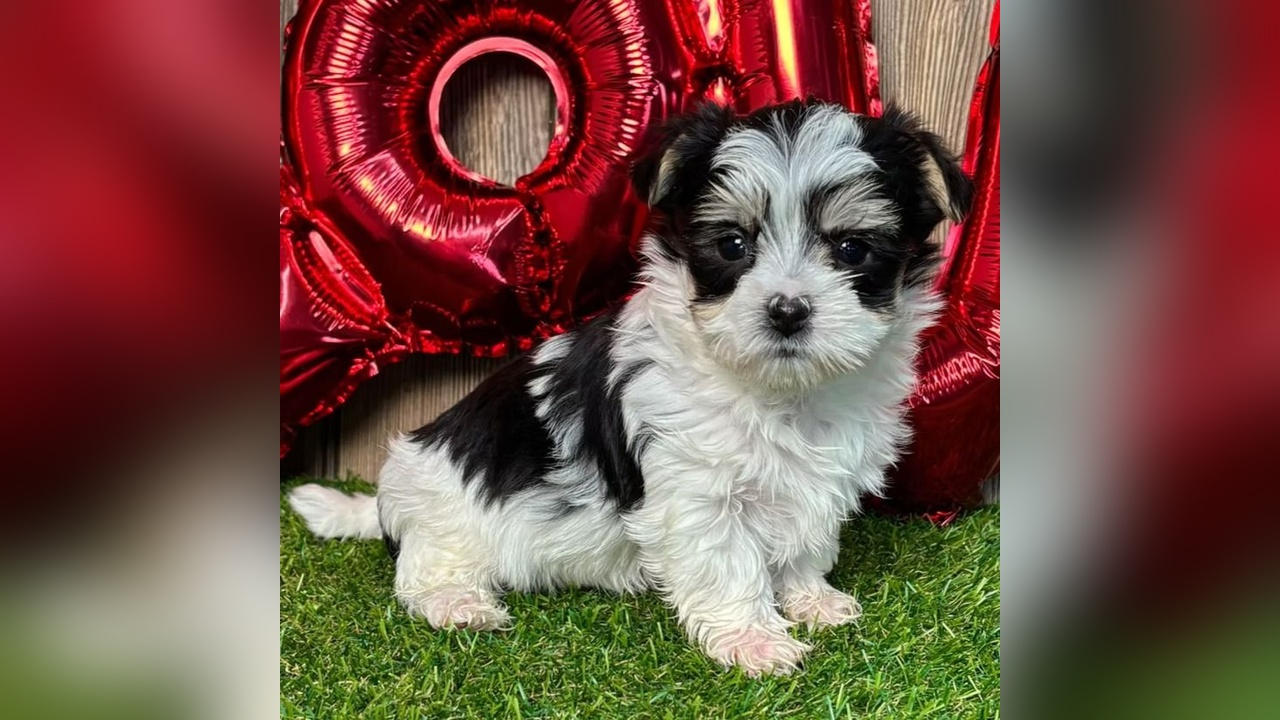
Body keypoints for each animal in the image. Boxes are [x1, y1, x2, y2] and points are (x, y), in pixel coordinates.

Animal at [289, 100, 970, 676]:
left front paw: (811, 598)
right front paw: (754, 640)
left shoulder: (818, 479)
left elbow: (805, 542)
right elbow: (727, 563)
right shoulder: (696, 490)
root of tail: (389, 495)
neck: (780, 390)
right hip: (442, 503)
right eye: (732, 244)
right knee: (423, 567)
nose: (787, 310)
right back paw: (458, 602)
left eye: (852, 248)